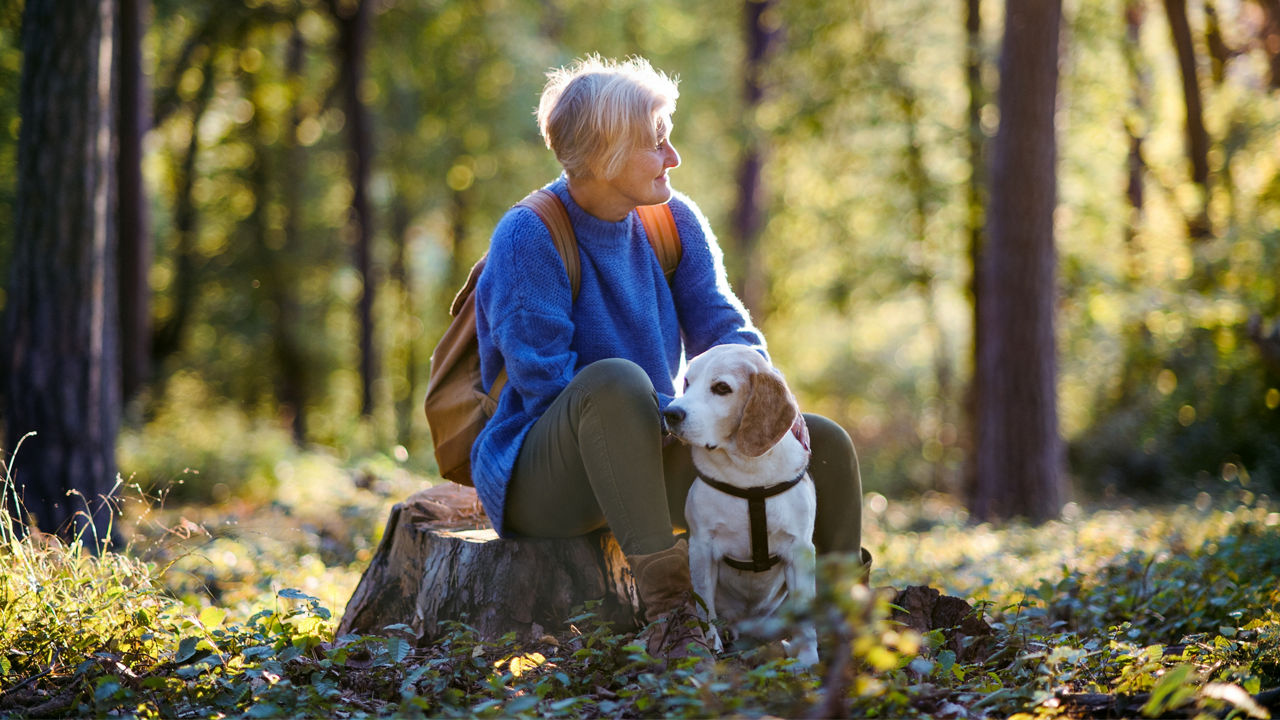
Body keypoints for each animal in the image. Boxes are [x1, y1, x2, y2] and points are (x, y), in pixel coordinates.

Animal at [660, 343, 819, 666]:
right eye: (687, 382)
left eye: (721, 388)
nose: (670, 413)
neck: (748, 475)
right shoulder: (702, 548)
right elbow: (705, 608)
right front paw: (712, 647)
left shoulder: (800, 550)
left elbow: (806, 617)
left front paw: (809, 660)